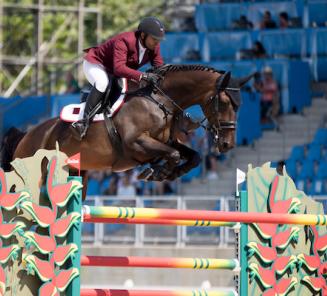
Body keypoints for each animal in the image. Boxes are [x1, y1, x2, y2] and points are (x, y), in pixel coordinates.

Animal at [1, 63, 252, 198]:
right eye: (225, 103)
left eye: (239, 105)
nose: (228, 144)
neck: (160, 100)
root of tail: (25, 136)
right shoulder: (136, 143)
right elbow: (173, 154)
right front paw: (156, 172)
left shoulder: (167, 142)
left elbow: (193, 156)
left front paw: (167, 173)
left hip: (77, 174)